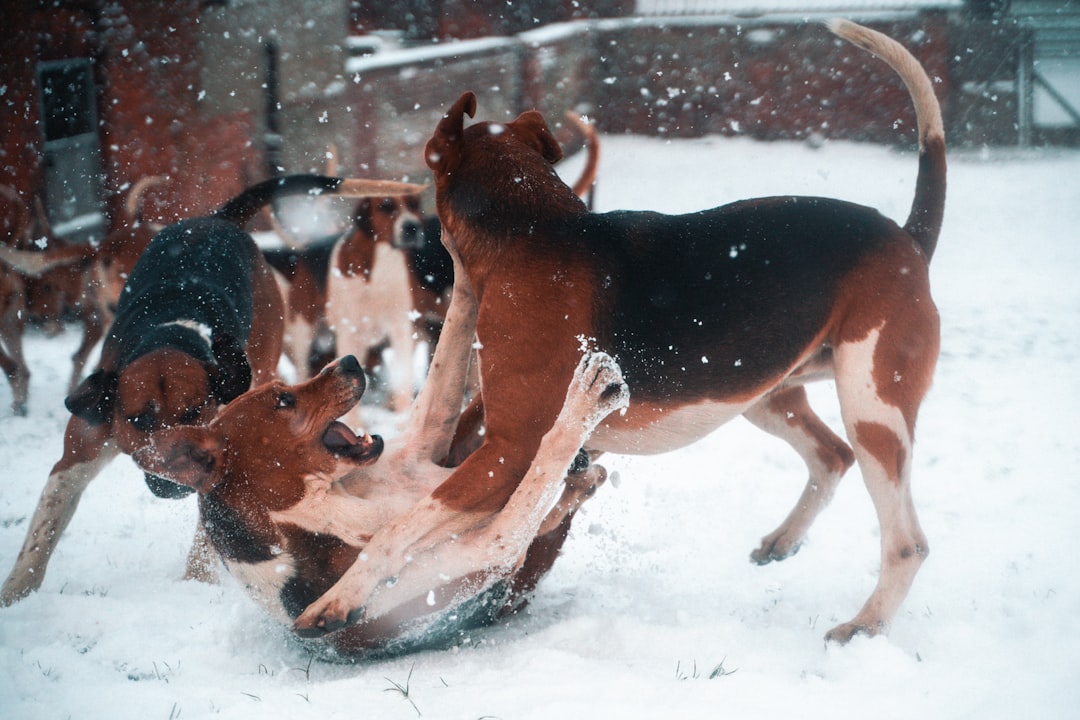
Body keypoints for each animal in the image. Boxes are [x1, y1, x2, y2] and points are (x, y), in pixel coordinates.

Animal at [130, 239, 630, 656]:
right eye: (283, 400)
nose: (350, 361)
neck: (332, 511)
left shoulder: (425, 445)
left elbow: (450, 341)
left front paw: (463, 257)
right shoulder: (493, 547)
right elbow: (543, 460)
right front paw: (584, 402)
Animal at [291, 19, 950, 643]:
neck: (534, 230)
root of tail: (906, 238)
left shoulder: (507, 452)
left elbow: (401, 527)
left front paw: (339, 598)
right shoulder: (491, 445)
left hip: (873, 410)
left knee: (907, 541)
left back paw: (866, 625)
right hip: (759, 391)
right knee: (831, 456)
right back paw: (785, 539)